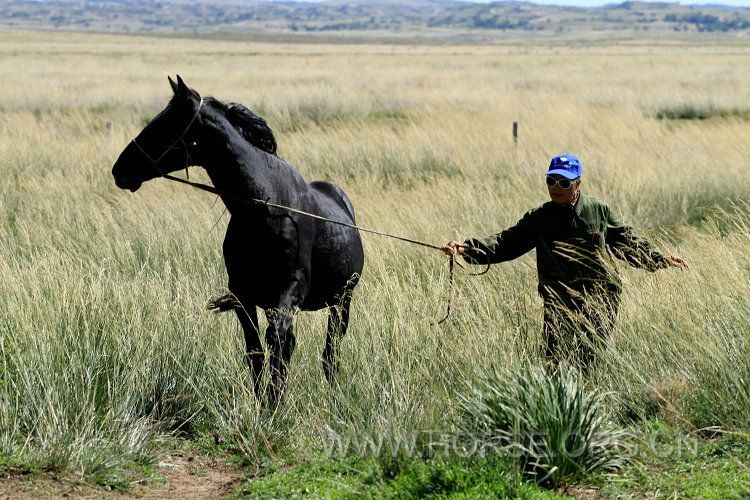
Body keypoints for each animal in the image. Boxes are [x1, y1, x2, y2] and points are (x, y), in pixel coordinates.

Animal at [112, 75, 368, 402]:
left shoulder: (290, 291)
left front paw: (275, 402)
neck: (266, 209)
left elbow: (278, 344)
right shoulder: (244, 297)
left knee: (329, 352)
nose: (120, 169)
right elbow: (256, 351)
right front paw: (263, 403)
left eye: (166, 123)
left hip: (342, 301)